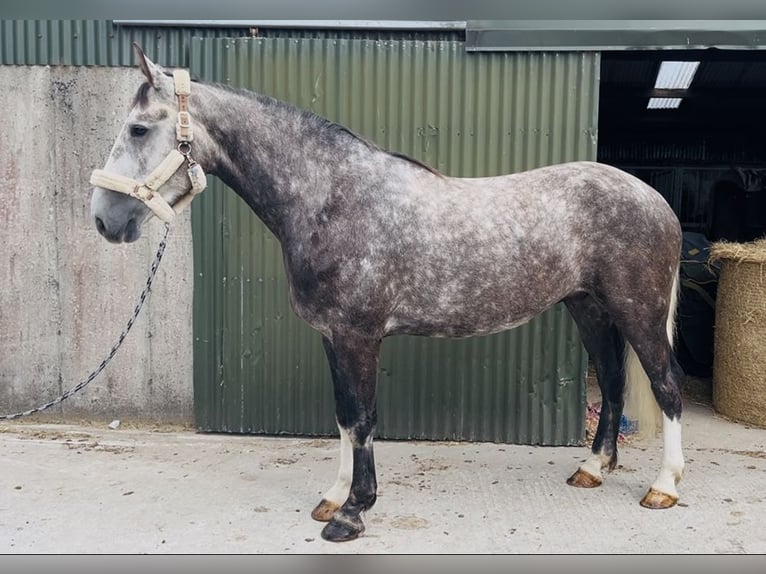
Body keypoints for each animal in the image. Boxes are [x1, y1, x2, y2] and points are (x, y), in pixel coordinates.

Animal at [90, 43, 685, 543]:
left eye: (138, 129)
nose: (103, 220)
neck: (332, 197)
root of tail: (655, 199)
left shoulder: (359, 336)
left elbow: (363, 418)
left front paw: (353, 513)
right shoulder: (332, 336)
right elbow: (343, 416)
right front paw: (333, 498)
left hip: (639, 312)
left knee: (666, 386)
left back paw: (664, 487)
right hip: (590, 309)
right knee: (612, 381)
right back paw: (592, 468)